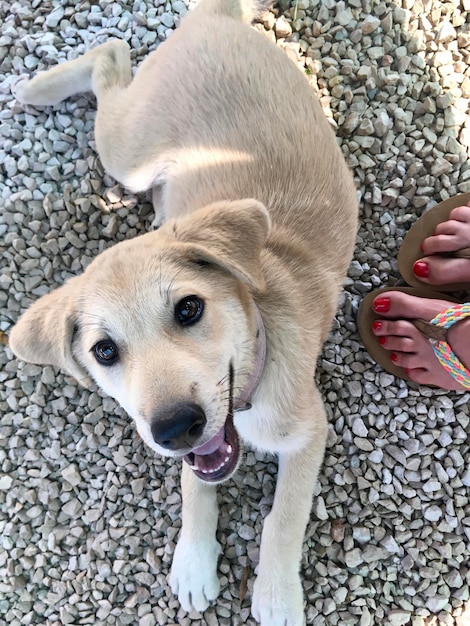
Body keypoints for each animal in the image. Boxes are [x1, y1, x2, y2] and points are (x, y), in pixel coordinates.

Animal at [10, 0, 356, 620]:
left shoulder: (310, 430)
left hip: (128, 150)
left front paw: (275, 594)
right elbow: (196, 485)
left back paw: (37, 86)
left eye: (190, 309)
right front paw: (194, 560)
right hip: (130, 158)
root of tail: (212, 17)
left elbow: (284, 517)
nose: (175, 428)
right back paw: (38, 87)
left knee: (112, 53)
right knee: (111, 54)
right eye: (104, 351)